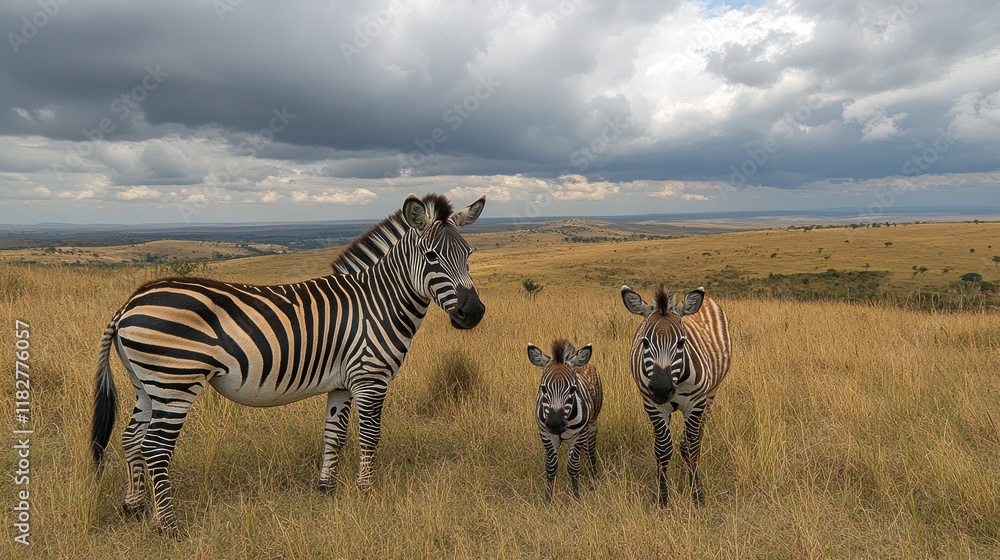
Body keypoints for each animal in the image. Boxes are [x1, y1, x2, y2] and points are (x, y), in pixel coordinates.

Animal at [90, 193, 487, 532]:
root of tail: (129, 304)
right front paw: (366, 492)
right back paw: (168, 525)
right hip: (176, 382)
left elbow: (334, 434)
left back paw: (134, 506)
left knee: (131, 439)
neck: (378, 302)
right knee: (155, 447)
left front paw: (326, 488)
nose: (473, 313)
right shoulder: (371, 378)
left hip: (148, 385)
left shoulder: (342, 384)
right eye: (431, 256)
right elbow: (370, 437)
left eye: (468, 254)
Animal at [526, 339, 603, 501]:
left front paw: (576, 498)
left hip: (591, 425)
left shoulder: (579, 435)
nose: (555, 424)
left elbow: (573, 467)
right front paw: (548, 500)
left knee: (590, 451)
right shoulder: (545, 434)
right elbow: (551, 467)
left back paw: (594, 481)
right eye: (543, 388)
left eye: (573, 389)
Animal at [620, 284, 731, 505]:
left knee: (695, 438)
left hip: (710, 395)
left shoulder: (696, 404)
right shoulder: (653, 405)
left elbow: (690, 448)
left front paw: (697, 495)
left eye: (681, 342)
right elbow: (663, 449)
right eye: (645, 342)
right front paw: (662, 498)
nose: (661, 389)